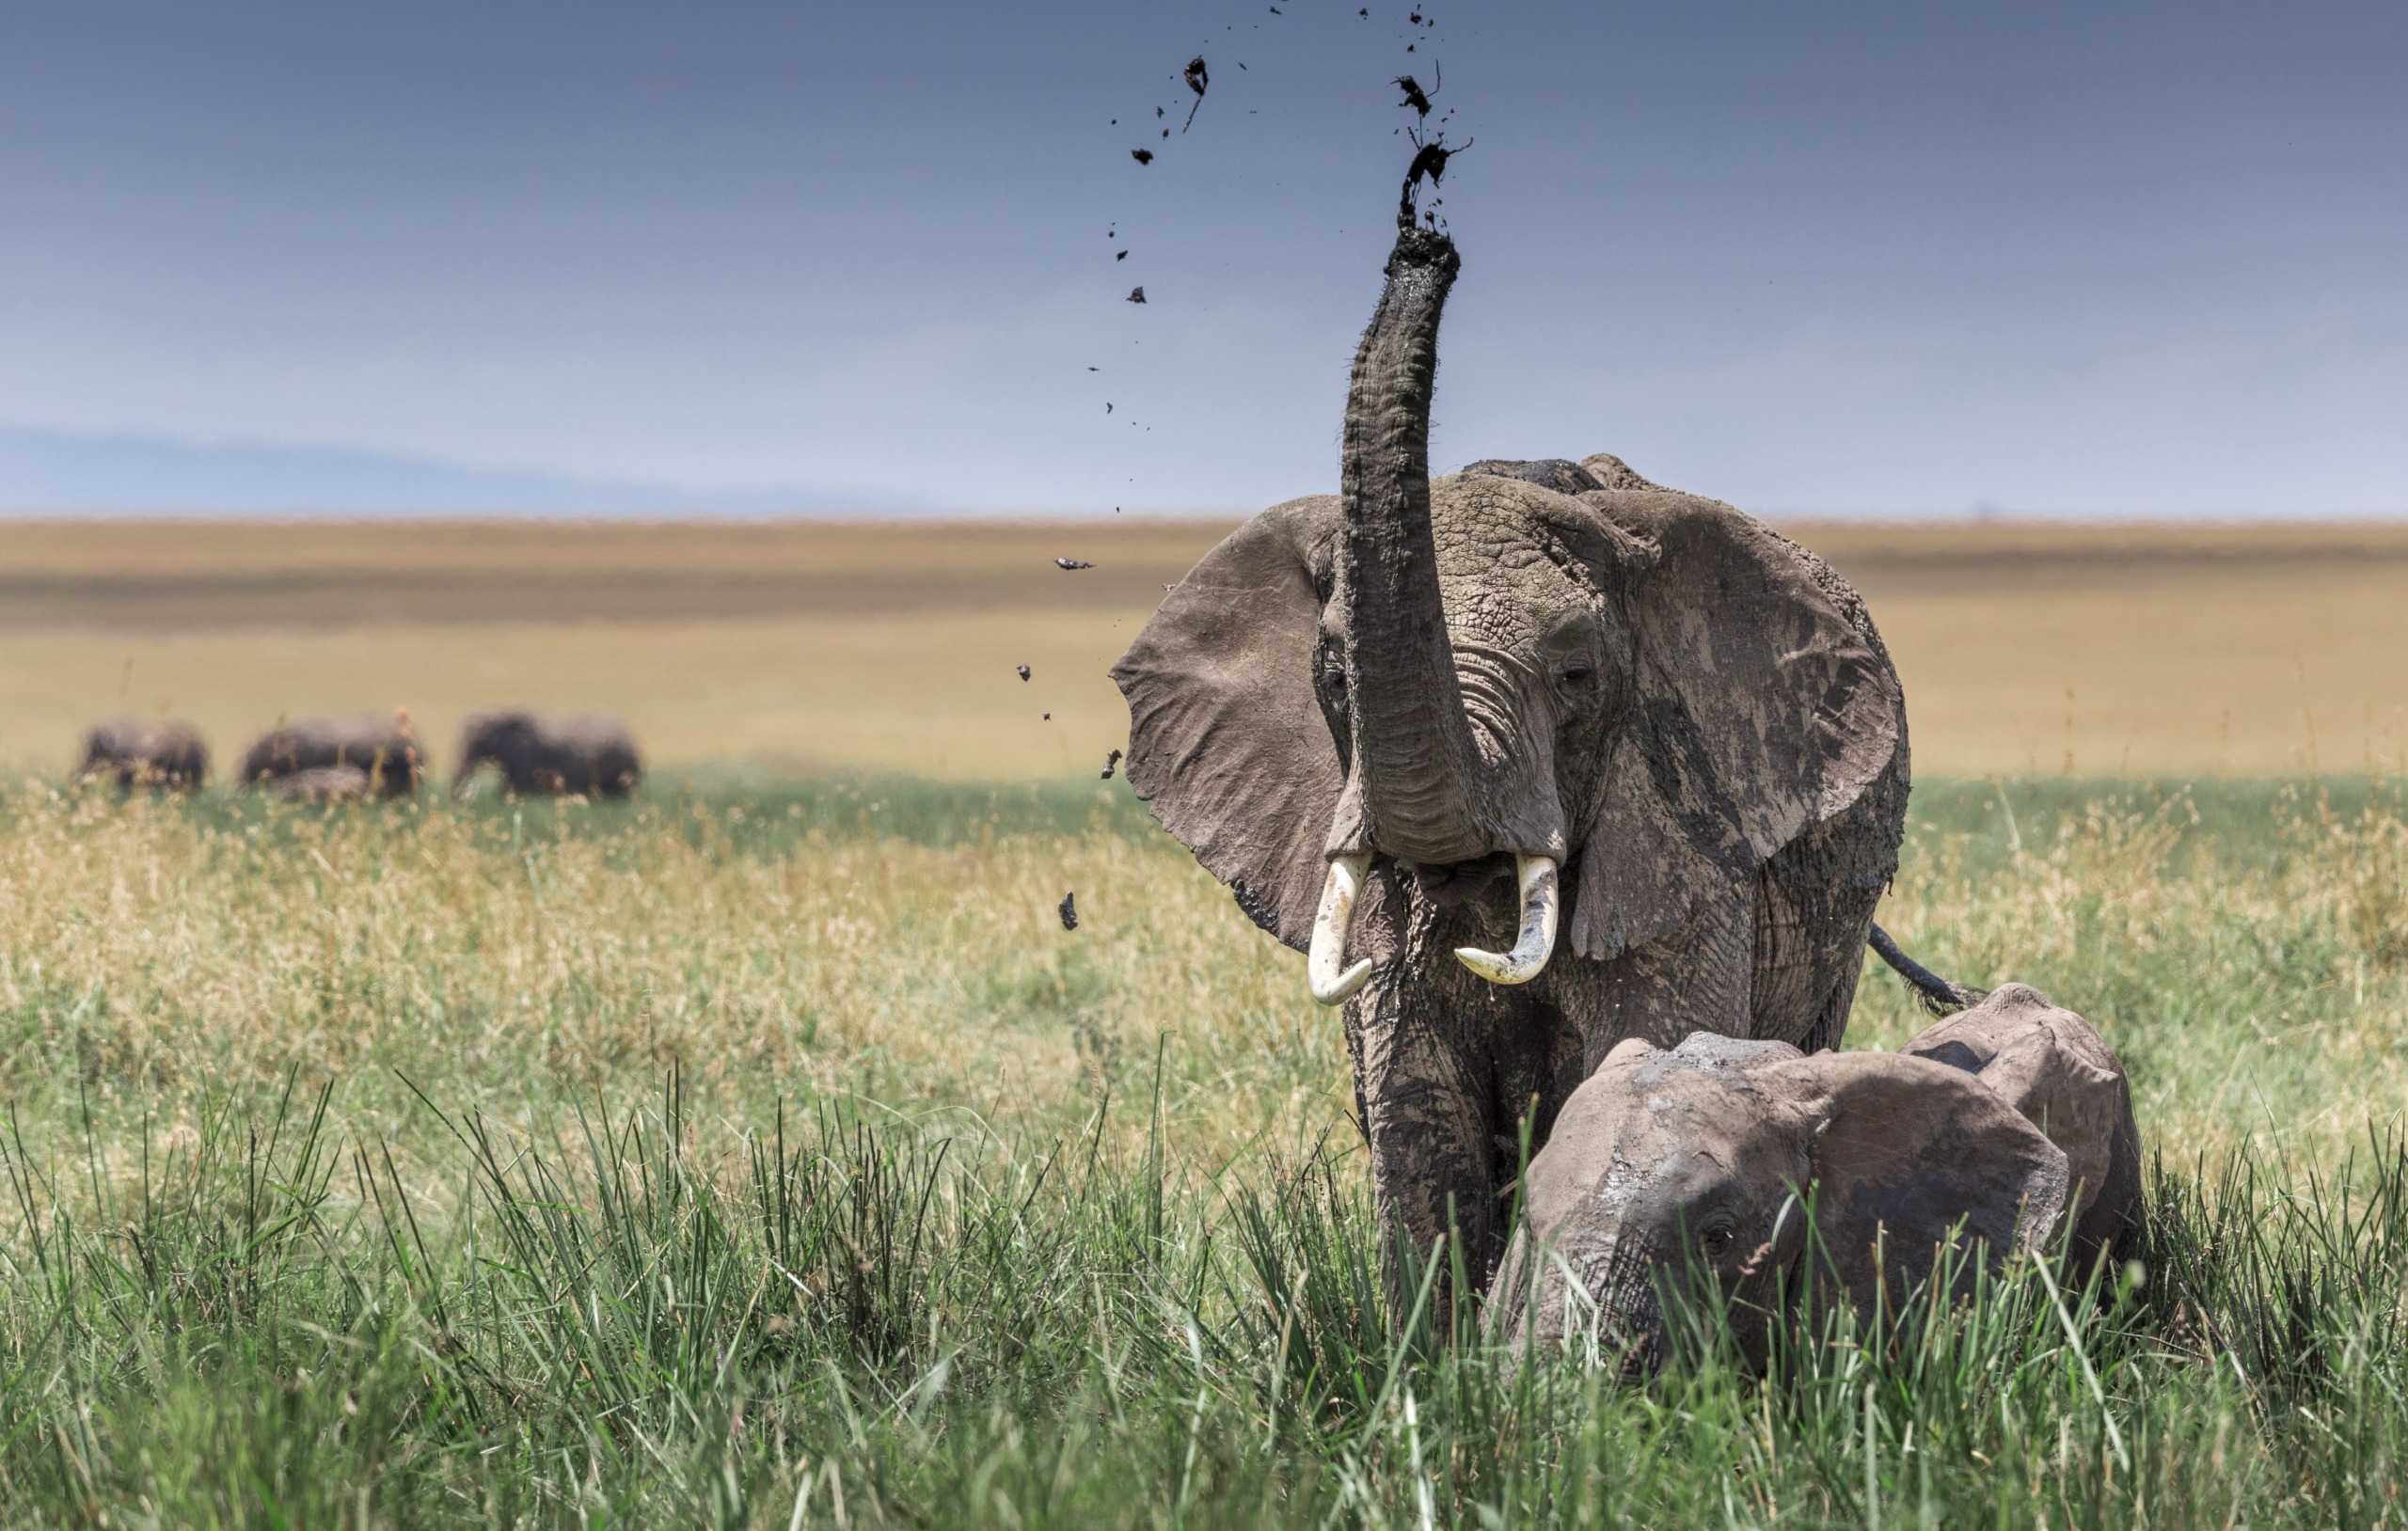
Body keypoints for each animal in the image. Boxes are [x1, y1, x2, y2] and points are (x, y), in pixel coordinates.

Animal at [1107, 224, 1916, 1318]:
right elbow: (1418, 1117)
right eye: (1334, 676)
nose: (1423, 246)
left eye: (1576, 675)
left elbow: (1636, 1064)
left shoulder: (1682, 841)